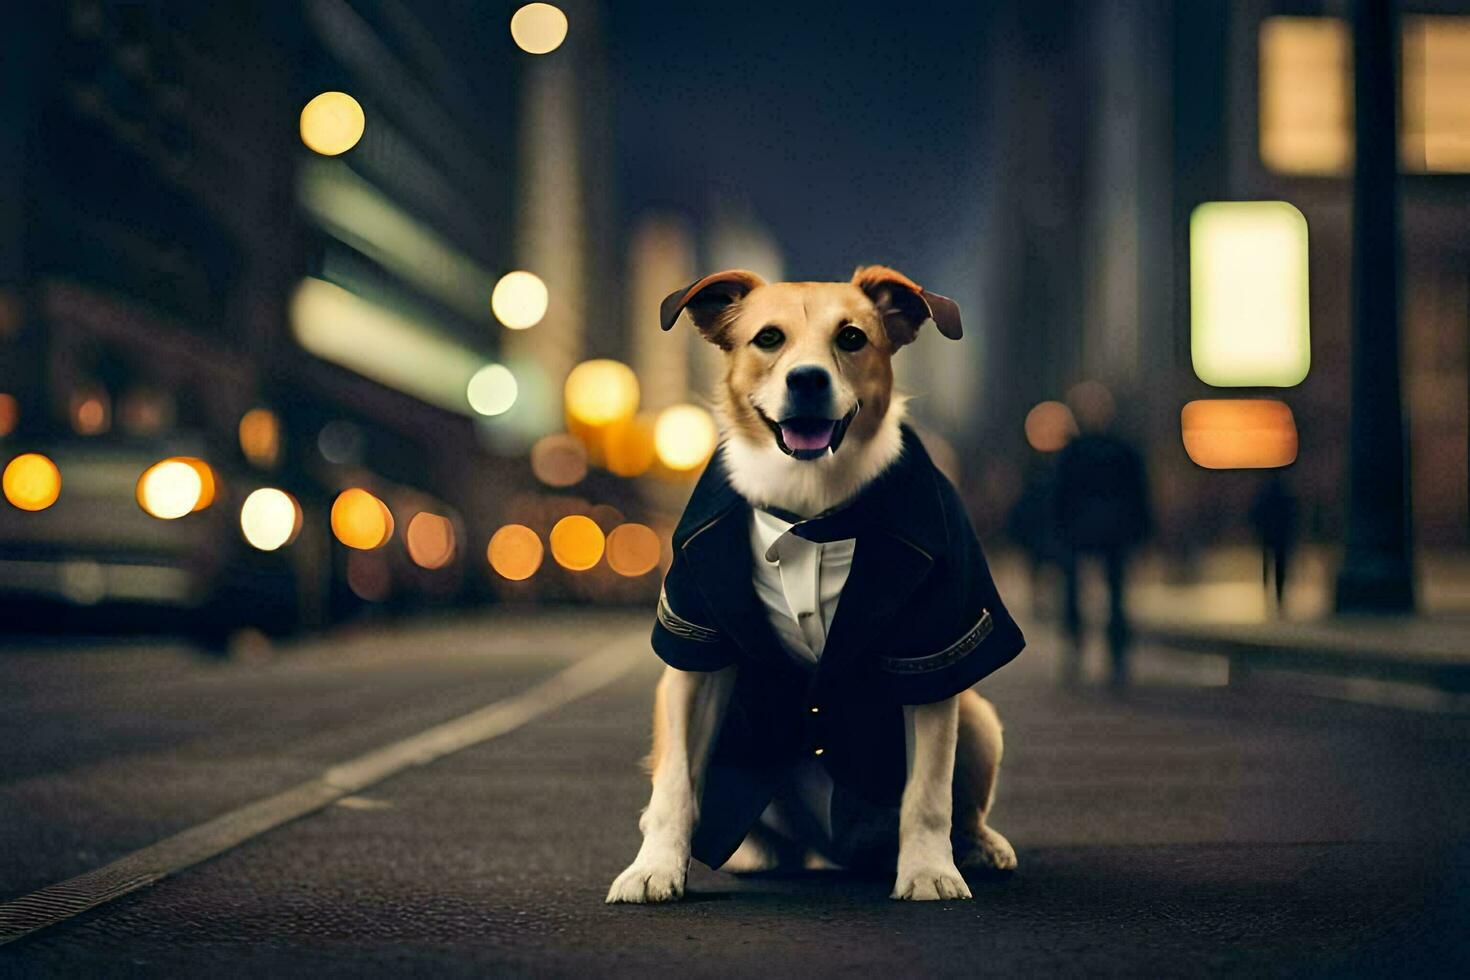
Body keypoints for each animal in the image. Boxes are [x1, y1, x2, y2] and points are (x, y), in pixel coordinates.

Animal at [605, 265, 1023, 905]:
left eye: (851, 338)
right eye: (768, 338)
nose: (806, 379)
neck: (808, 509)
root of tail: (833, 851)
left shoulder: (930, 651)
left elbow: (927, 792)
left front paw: (929, 870)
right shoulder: (694, 657)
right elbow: (675, 785)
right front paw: (653, 867)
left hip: (978, 718)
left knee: (959, 807)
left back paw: (976, 847)